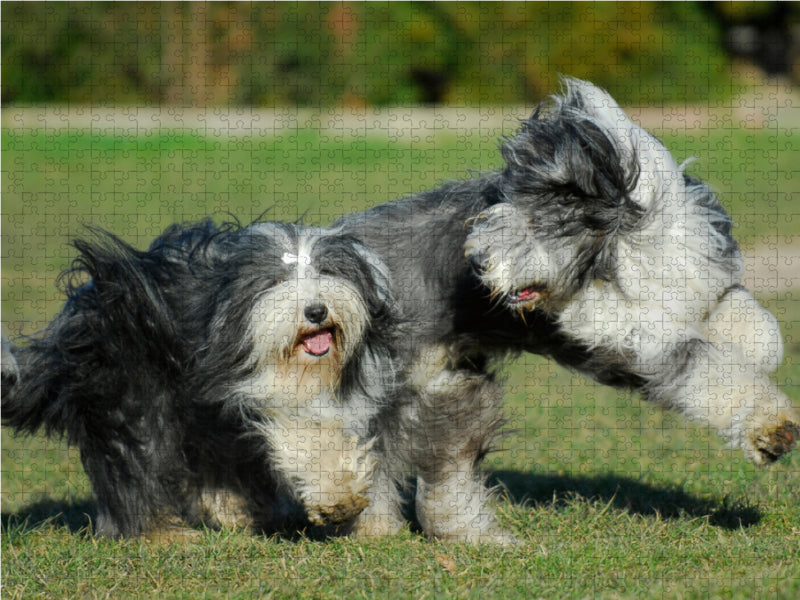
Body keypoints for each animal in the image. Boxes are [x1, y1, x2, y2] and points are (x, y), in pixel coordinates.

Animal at [0, 219, 400, 540]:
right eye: (276, 280)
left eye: (327, 272)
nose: (316, 311)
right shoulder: (240, 387)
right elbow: (298, 429)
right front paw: (338, 498)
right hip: (127, 396)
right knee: (136, 467)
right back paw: (160, 534)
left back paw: (231, 513)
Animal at [334, 77, 796, 548]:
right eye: (495, 209)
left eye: (533, 217)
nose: (476, 261)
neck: (624, 248)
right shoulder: (631, 336)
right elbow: (705, 367)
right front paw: (771, 429)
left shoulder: (703, 283)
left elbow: (759, 329)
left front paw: (755, 355)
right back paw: (379, 527)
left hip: (445, 387)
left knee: (435, 459)